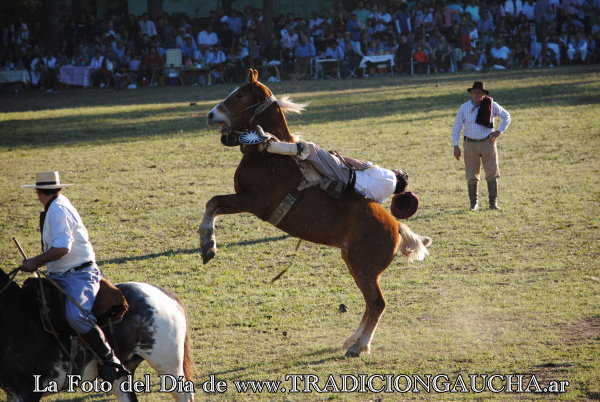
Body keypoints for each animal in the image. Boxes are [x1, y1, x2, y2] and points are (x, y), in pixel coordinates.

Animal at [203, 68, 432, 354]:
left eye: (239, 95)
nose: (211, 114)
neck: (269, 158)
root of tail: (396, 227)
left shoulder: (252, 201)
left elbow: (213, 202)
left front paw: (207, 244)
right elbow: (213, 204)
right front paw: (208, 245)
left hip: (363, 268)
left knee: (377, 303)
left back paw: (359, 346)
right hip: (354, 263)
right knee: (371, 304)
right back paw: (353, 340)